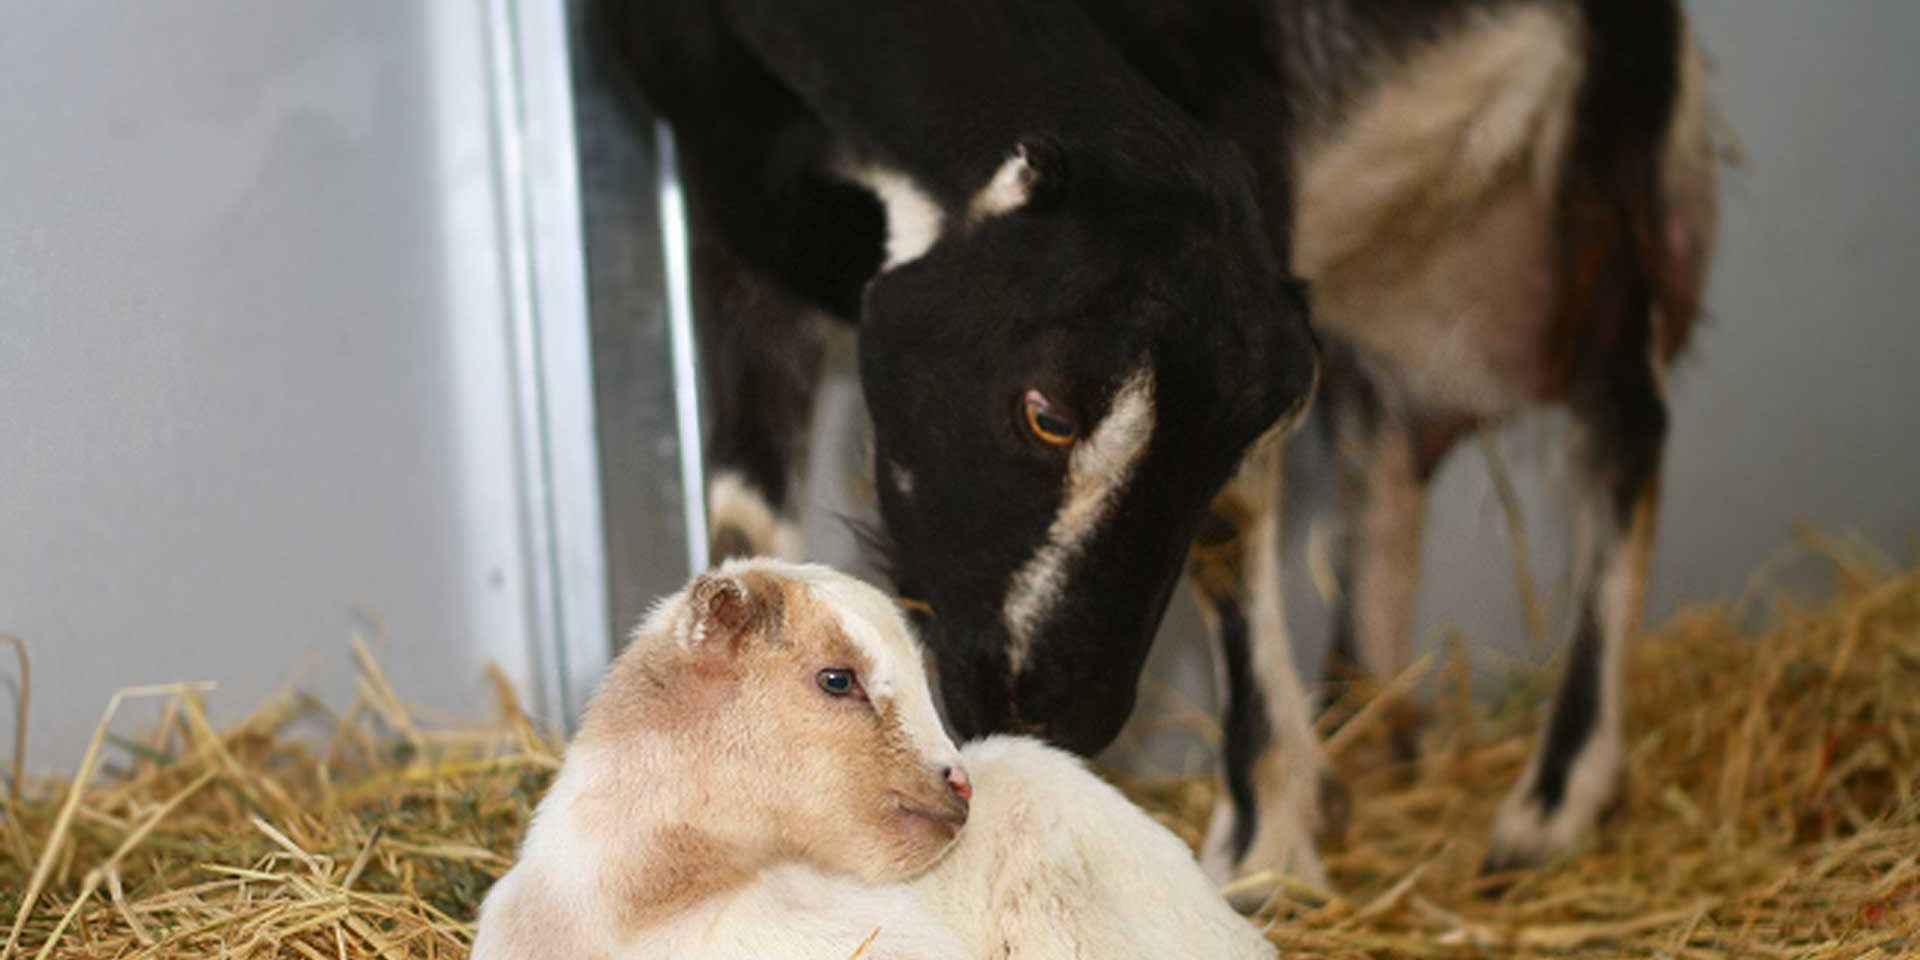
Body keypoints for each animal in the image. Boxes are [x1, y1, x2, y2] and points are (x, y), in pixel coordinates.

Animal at [596, 0, 1720, 885]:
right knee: (1387, 440)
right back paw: (1367, 738)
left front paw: (1265, 845)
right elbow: (741, 510)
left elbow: (1237, 535)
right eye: (1046, 410)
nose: (1066, 711)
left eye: (1234, 442)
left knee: (1623, 422)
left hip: (1598, 153)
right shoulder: (730, 217)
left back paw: (1551, 803)